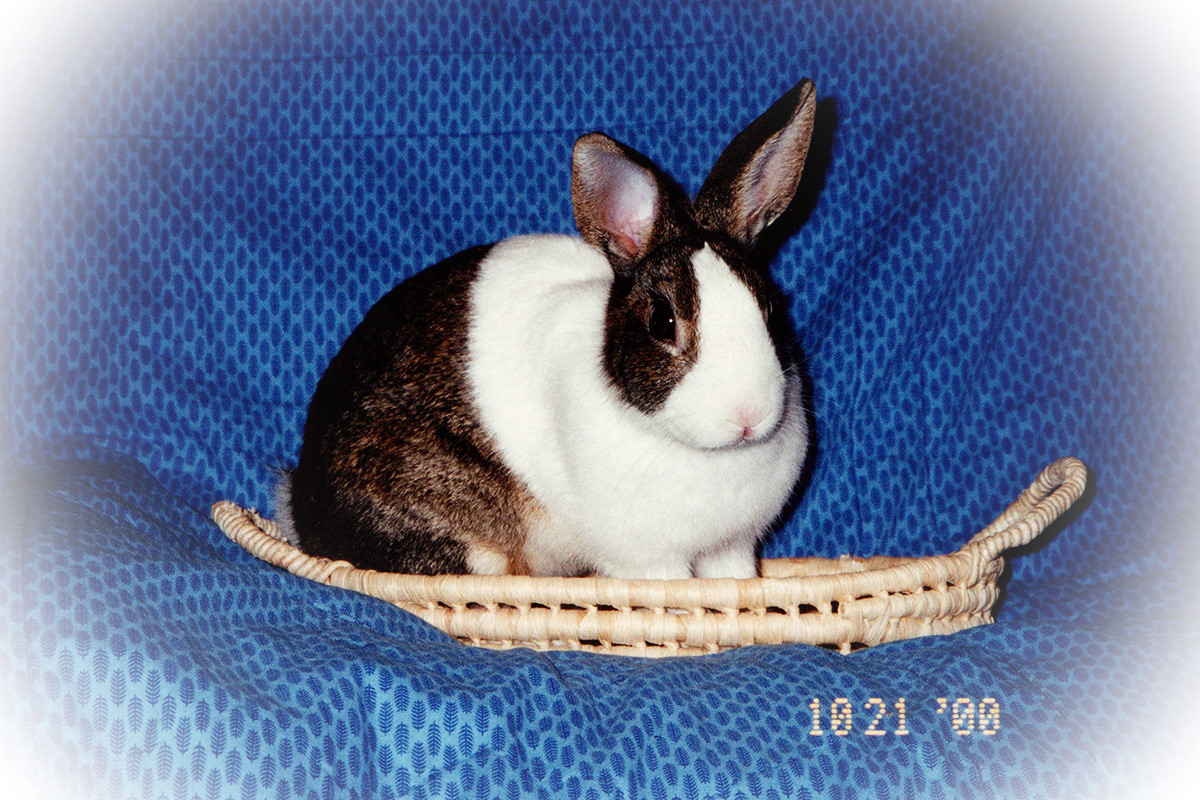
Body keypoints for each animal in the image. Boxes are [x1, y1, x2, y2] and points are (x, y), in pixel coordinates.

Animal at [278, 79, 817, 580]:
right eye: (663, 323)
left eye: (771, 307)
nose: (747, 416)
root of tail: (303, 509)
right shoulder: (648, 564)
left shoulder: (731, 550)